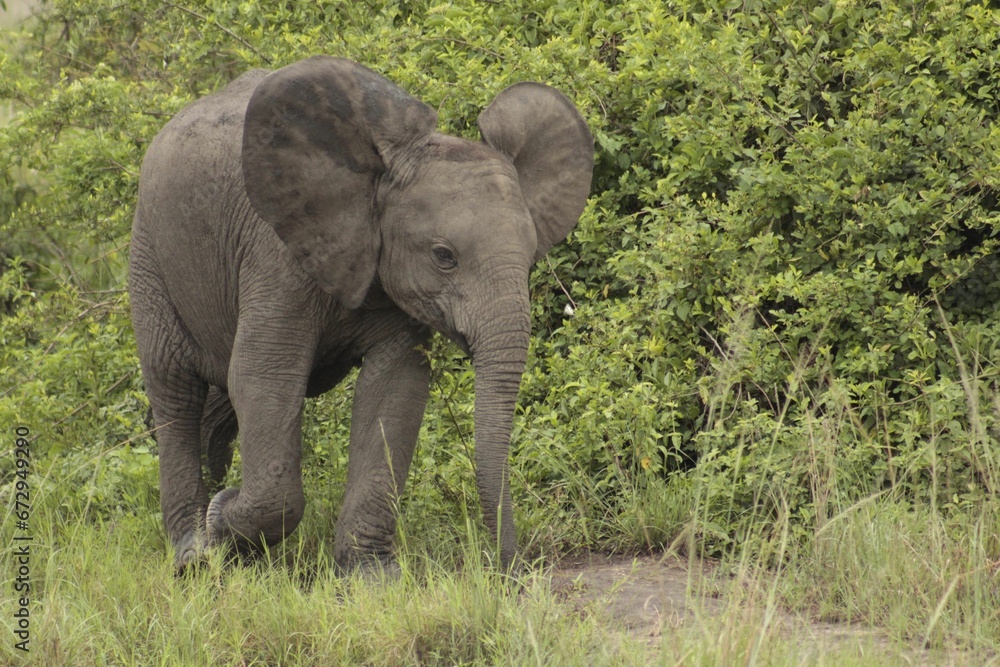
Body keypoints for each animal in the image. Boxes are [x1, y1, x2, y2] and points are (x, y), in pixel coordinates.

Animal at [129, 56, 593, 574]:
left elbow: (396, 386)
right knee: (175, 388)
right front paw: (222, 520)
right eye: (444, 256)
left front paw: (370, 576)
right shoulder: (277, 257)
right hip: (149, 254)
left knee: (217, 395)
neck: (377, 176)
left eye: (531, 259)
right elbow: (264, 376)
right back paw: (193, 553)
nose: (510, 569)